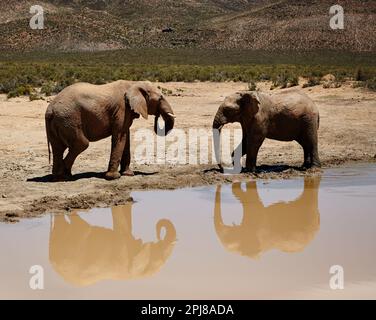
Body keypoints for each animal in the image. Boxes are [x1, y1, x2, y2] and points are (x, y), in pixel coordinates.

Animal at [44, 80, 176, 180]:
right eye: (160, 98)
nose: (158, 116)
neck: (133, 84)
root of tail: (50, 110)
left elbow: (125, 138)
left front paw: (128, 174)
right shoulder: (122, 109)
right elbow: (120, 137)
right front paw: (114, 177)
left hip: (60, 122)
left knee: (58, 148)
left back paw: (58, 176)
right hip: (69, 119)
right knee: (81, 144)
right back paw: (63, 176)